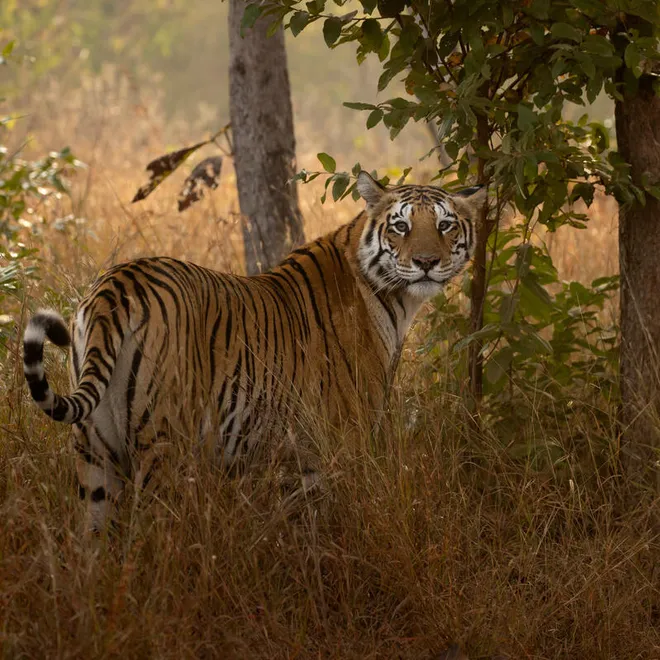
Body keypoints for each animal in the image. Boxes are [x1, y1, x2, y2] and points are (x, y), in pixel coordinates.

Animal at [23, 171, 486, 531]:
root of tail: (116, 284)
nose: (426, 262)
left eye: (445, 225)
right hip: (162, 446)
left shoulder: (300, 456)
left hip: (94, 453)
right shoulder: (345, 437)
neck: (393, 296)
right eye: (401, 227)